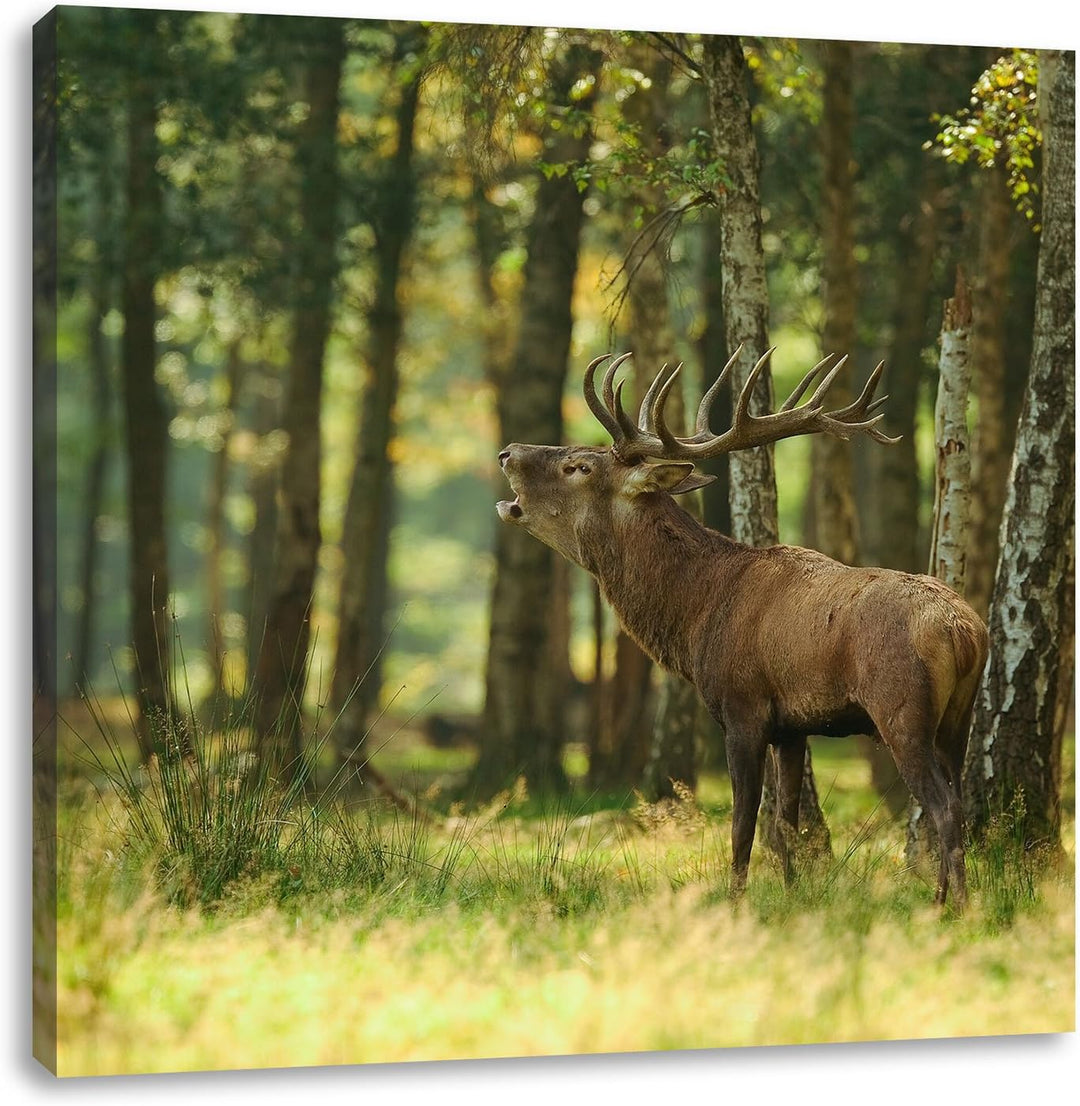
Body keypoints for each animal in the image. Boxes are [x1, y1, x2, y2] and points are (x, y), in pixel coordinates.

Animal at [496, 349, 989, 909]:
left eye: (578, 466)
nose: (507, 452)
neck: (696, 617)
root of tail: (964, 632)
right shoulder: (794, 727)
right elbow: (786, 823)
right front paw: (794, 894)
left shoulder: (741, 708)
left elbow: (742, 825)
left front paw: (735, 901)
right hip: (958, 718)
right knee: (958, 800)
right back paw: (945, 898)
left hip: (901, 708)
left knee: (943, 805)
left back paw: (954, 906)